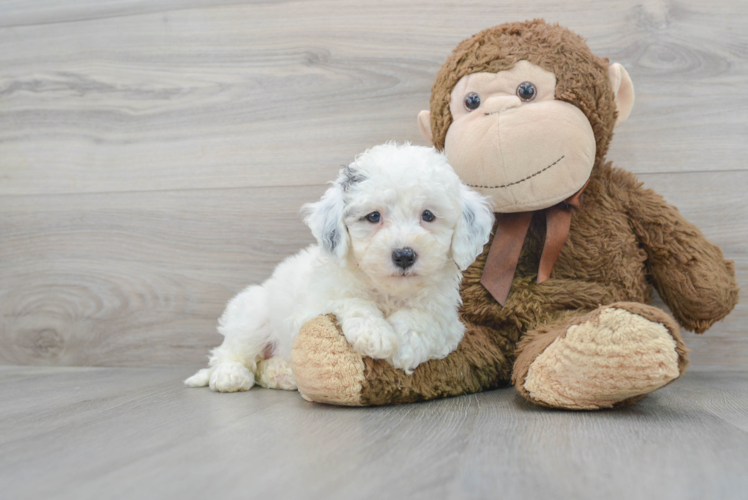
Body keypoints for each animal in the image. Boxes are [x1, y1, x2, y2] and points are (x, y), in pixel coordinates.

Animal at [184, 143, 494, 392]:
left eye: (428, 215)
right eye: (373, 216)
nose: (404, 255)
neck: (388, 291)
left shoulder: (448, 321)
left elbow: (422, 319)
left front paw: (403, 345)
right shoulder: (315, 305)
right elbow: (351, 300)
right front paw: (376, 335)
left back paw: (283, 374)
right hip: (252, 315)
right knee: (231, 352)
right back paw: (230, 376)